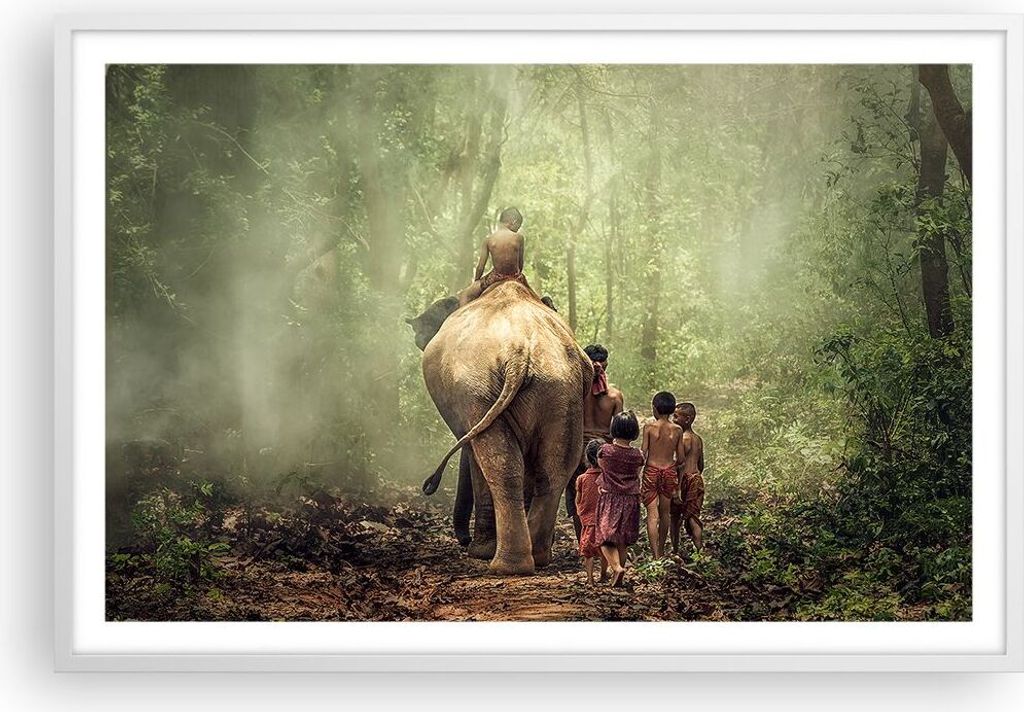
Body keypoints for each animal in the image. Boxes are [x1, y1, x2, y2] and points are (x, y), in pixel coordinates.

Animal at [411, 281, 592, 575]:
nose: (463, 540)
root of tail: (518, 352)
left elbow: (474, 457)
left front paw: (478, 551)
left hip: (478, 392)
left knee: (500, 463)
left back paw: (504, 563)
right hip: (560, 389)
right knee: (554, 469)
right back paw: (537, 556)